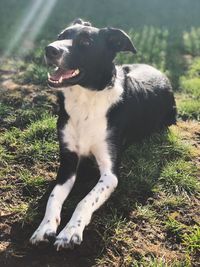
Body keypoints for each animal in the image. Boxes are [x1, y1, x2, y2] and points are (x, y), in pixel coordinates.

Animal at [29, 18, 177, 251]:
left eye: (86, 42)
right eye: (61, 35)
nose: (50, 49)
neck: (86, 101)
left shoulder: (110, 173)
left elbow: (84, 201)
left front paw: (70, 232)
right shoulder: (68, 161)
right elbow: (54, 196)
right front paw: (44, 227)